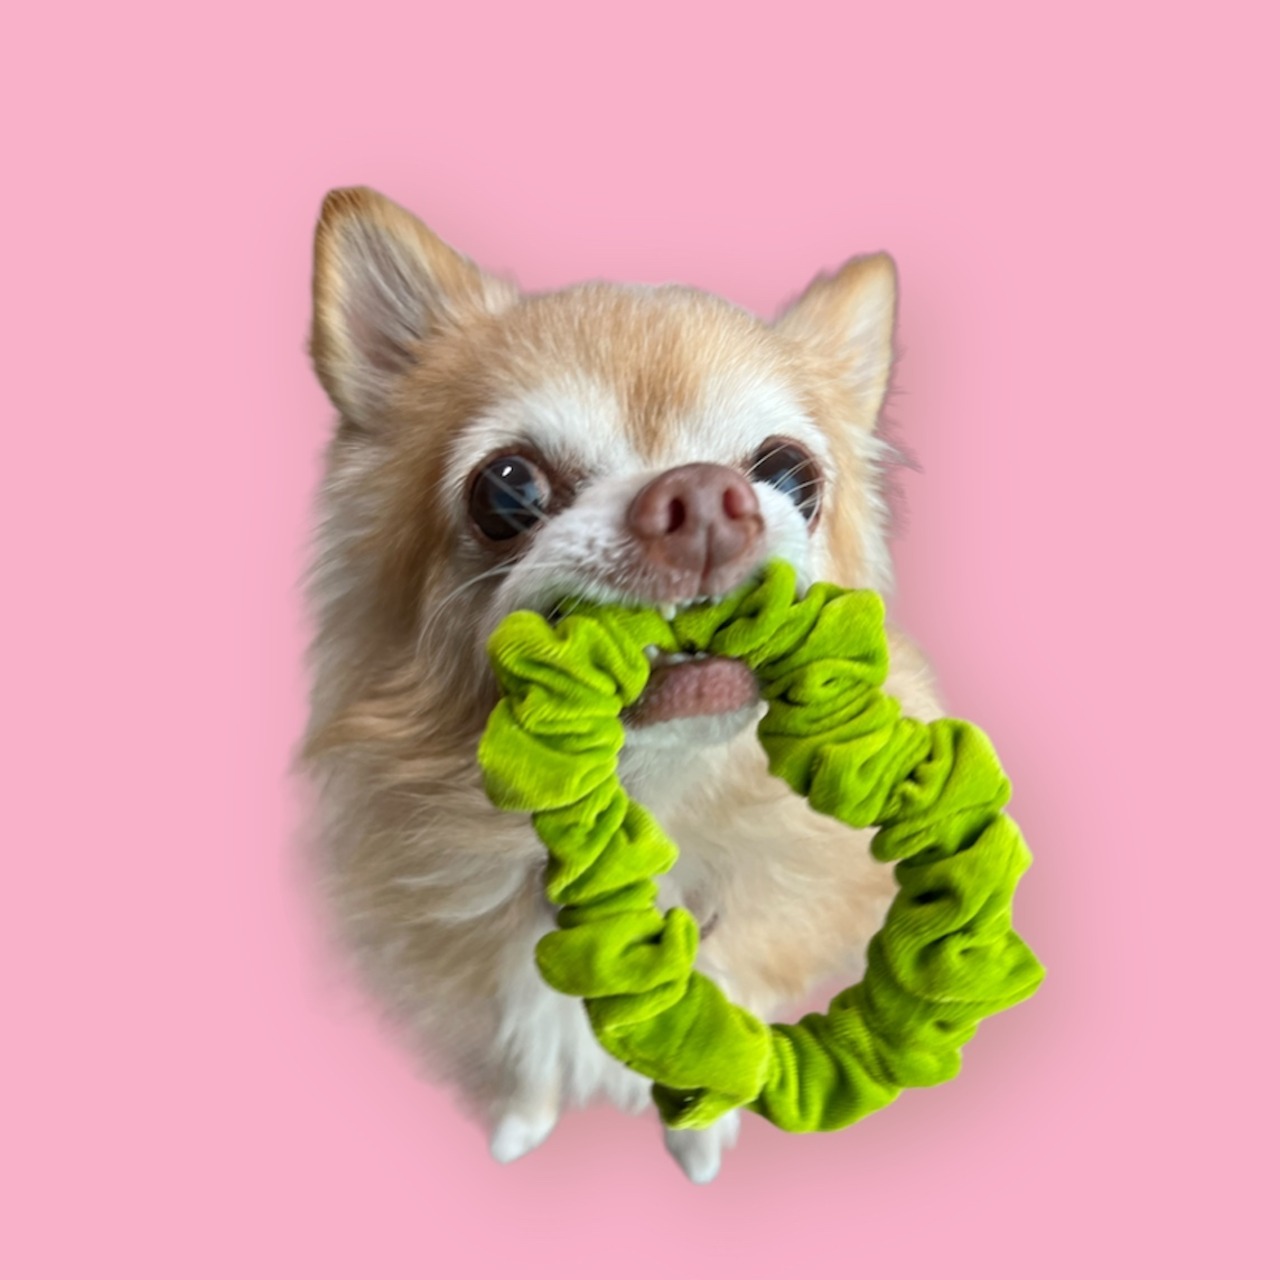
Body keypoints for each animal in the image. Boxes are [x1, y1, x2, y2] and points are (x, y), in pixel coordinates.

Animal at [301, 187, 942, 1182]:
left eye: (789, 473)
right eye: (508, 488)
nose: (705, 497)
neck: (639, 813)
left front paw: (699, 1139)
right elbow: (529, 1060)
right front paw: (519, 1126)